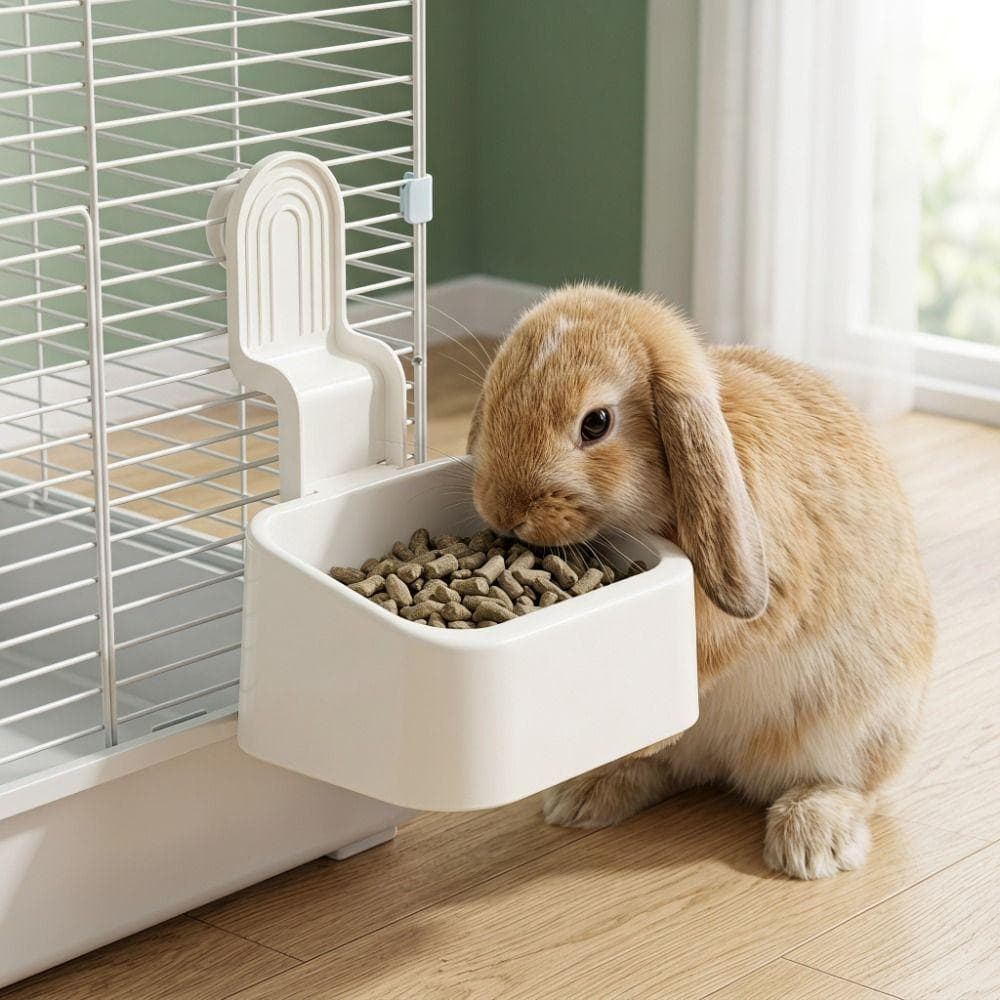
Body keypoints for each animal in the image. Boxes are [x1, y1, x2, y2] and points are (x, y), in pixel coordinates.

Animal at [467, 283, 934, 880]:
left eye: (596, 423)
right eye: (494, 393)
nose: (503, 511)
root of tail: (728, 764)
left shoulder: (754, 609)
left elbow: (706, 657)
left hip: (864, 726)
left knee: (851, 785)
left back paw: (810, 844)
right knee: (669, 773)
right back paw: (587, 792)